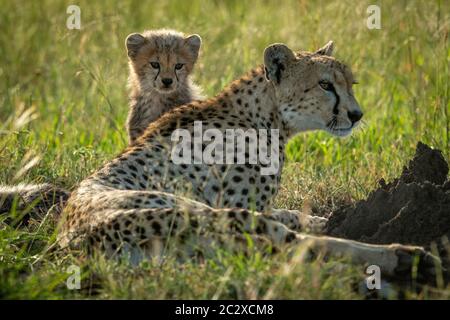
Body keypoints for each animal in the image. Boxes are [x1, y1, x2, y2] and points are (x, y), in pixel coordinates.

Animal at [58, 42, 442, 280]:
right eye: (325, 85)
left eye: (351, 83)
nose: (356, 115)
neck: (265, 114)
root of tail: (77, 240)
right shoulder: (240, 206)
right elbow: (291, 227)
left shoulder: (256, 207)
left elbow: (294, 214)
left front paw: (329, 218)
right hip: (200, 213)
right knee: (298, 246)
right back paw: (403, 254)